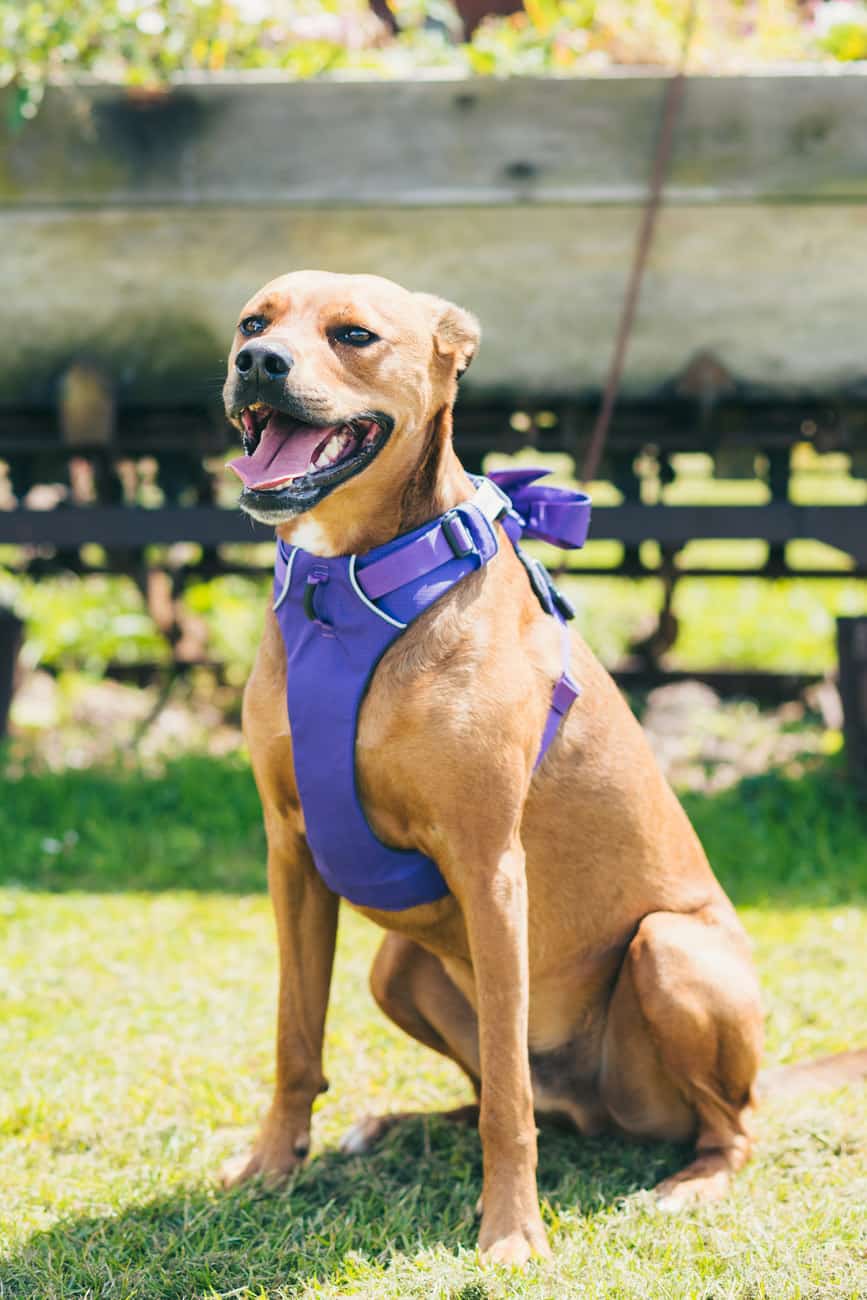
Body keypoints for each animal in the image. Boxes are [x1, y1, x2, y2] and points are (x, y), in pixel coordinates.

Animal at [220, 271, 863, 1258]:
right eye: (254, 322)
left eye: (354, 335)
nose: (257, 362)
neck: (349, 584)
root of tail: (600, 1113)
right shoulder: (292, 856)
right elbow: (298, 1039)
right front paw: (273, 1164)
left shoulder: (489, 869)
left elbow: (508, 1106)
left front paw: (510, 1231)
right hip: (396, 969)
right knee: (501, 1084)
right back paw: (401, 1125)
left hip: (667, 950)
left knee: (714, 1122)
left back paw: (692, 1181)